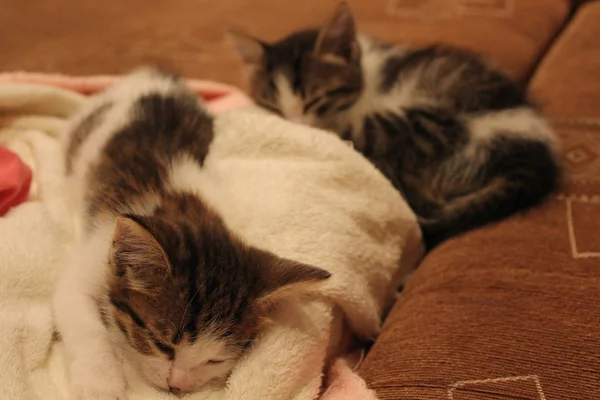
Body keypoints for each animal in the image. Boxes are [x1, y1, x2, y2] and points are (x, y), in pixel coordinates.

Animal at [52, 67, 330, 398]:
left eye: (214, 360)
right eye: (161, 344)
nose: (177, 385)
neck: (192, 209)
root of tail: (153, 73)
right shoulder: (93, 255)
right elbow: (82, 318)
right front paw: (100, 382)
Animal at [231, 1, 564, 248]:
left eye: (316, 100)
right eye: (273, 105)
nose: (294, 124)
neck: (366, 76)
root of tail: (531, 153)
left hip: (430, 121)